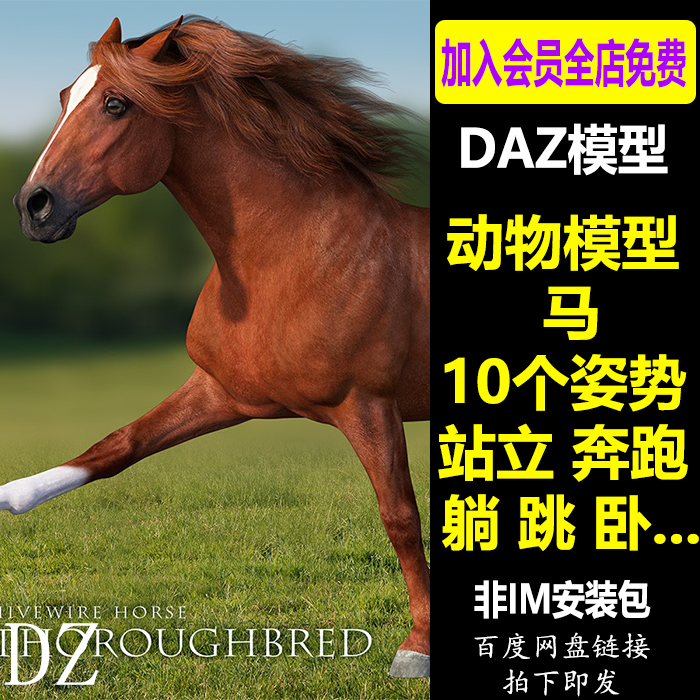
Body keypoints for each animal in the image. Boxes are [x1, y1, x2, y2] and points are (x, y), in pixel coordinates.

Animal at [5, 16, 430, 678]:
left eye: (116, 103)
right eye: (64, 96)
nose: (33, 206)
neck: (292, 257)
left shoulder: (368, 405)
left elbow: (401, 518)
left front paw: (416, 648)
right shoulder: (221, 392)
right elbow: (117, 445)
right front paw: (12, 496)